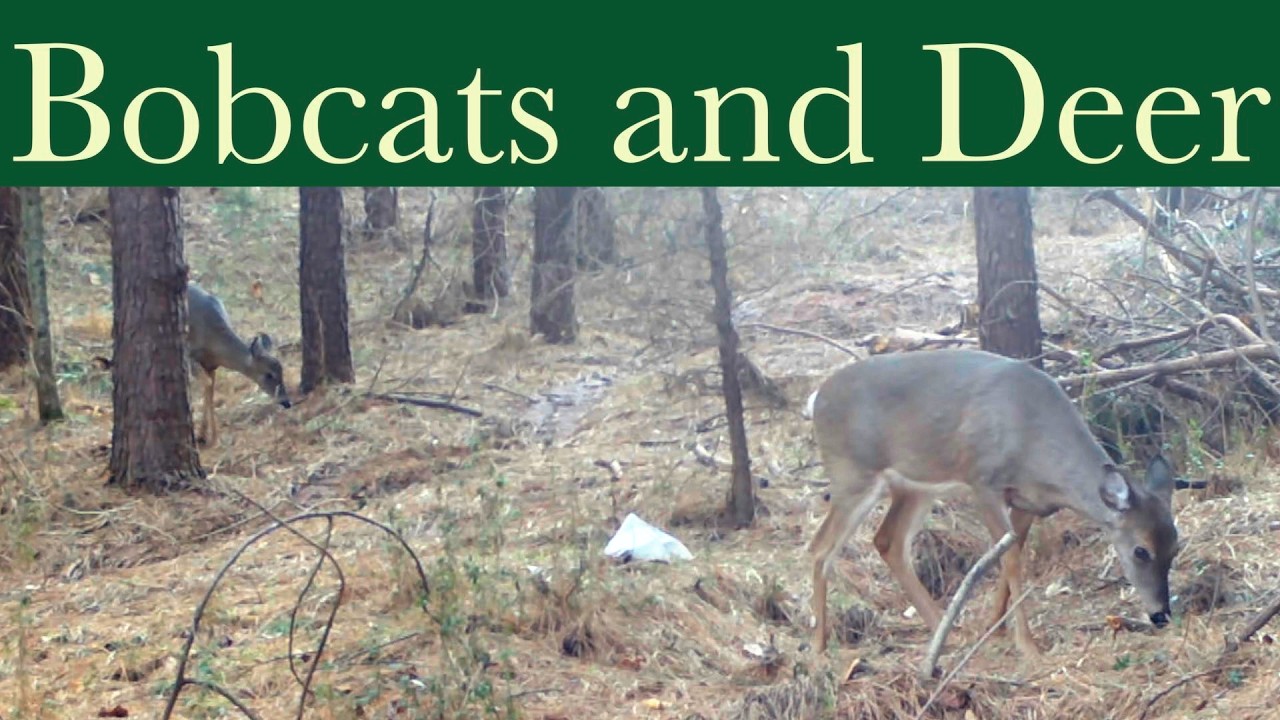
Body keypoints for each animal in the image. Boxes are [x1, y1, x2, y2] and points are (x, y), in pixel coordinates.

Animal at [186, 281, 291, 446]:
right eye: (269, 374)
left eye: (282, 372)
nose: (286, 402)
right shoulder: (190, 355)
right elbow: (206, 384)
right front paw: (205, 436)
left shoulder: (211, 365)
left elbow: (210, 390)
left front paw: (209, 436)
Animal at [806, 348, 1183, 657]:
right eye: (1141, 551)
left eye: (1175, 547)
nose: (1161, 614)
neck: (1035, 442)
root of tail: (817, 399)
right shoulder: (984, 482)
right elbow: (1011, 558)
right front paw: (1027, 646)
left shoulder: (1027, 500)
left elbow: (1011, 555)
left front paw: (995, 629)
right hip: (852, 474)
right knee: (820, 548)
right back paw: (819, 648)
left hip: (915, 486)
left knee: (889, 541)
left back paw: (945, 630)